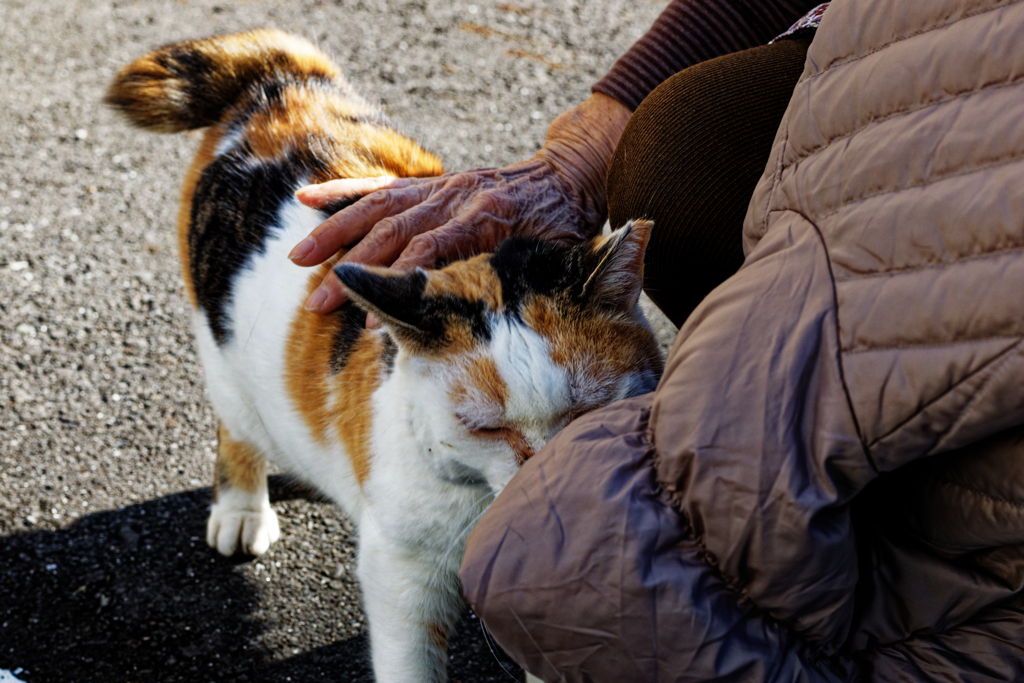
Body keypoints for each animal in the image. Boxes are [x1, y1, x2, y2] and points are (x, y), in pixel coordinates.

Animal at [105, 29, 663, 679]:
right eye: (485, 427)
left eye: (587, 412)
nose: (549, 491)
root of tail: (286, 81)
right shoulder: (401, 574)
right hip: (225, 361)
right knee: (237, 425)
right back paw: (242, 508)